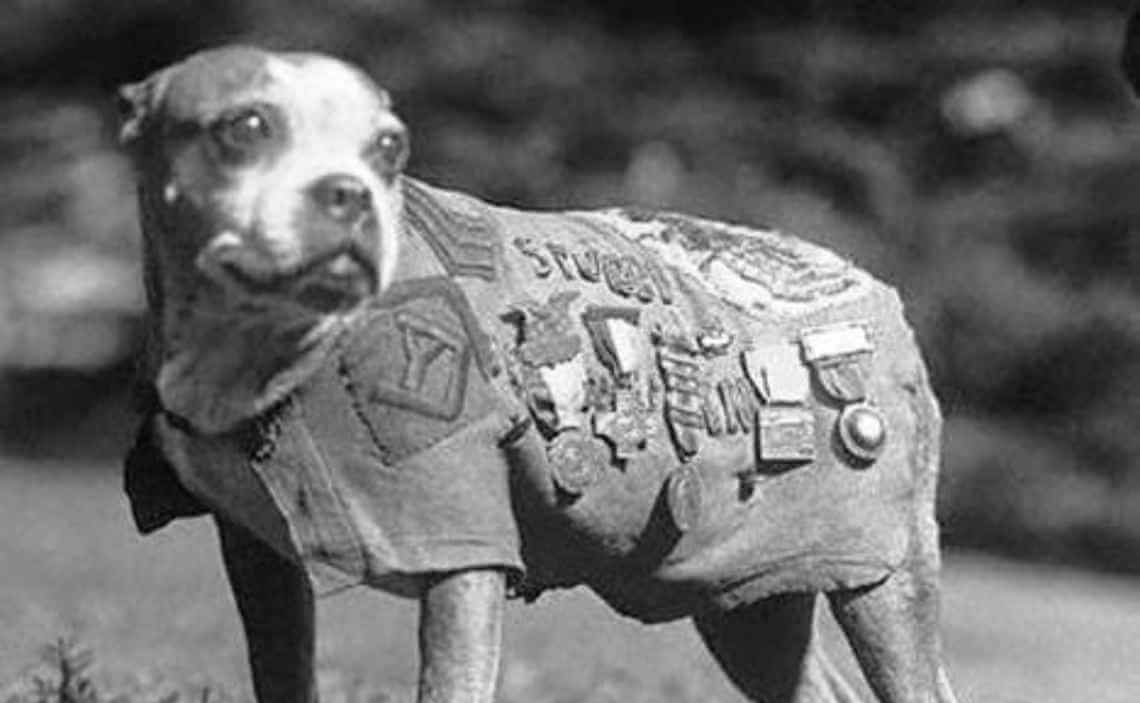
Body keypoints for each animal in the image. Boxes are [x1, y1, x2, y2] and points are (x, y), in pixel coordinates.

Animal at [120, 45, 962, 701]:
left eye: (389, 147)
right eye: (245, 127)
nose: (348, 192)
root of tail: (869, 283)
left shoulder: (464, 554)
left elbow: (449, 681)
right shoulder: (259, 560)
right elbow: (283, 673)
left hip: (884, 574)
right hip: (750, 597)